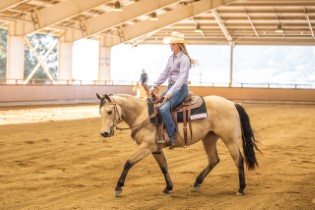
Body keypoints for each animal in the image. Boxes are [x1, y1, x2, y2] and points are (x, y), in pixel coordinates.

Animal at [96, 93, 262, 197]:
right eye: (100, 112)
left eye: (110, 111)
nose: (104, 133)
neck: (143, 115)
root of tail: (233, 104)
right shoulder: (155, 149)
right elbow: (164, 167)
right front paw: (168, 188)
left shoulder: (147, 147)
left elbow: (128, 163)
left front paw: (118, 188)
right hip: (209, 138)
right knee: (214, 160)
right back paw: (197, 183)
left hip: (229, 139)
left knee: (238, 160)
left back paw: (241, 188)